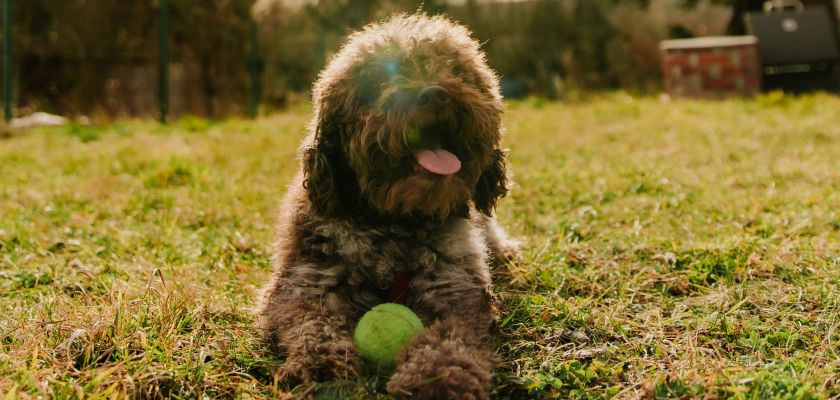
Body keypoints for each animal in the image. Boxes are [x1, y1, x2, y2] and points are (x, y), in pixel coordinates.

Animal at [258, 13, 520, 400]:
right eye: (378, 81)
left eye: (455, 69)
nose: (435, 94)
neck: (394, 223)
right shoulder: (305, 285)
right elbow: (313, 325)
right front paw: (321, 365)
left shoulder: (455, 289)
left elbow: (450, 339)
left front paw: (437, 378)